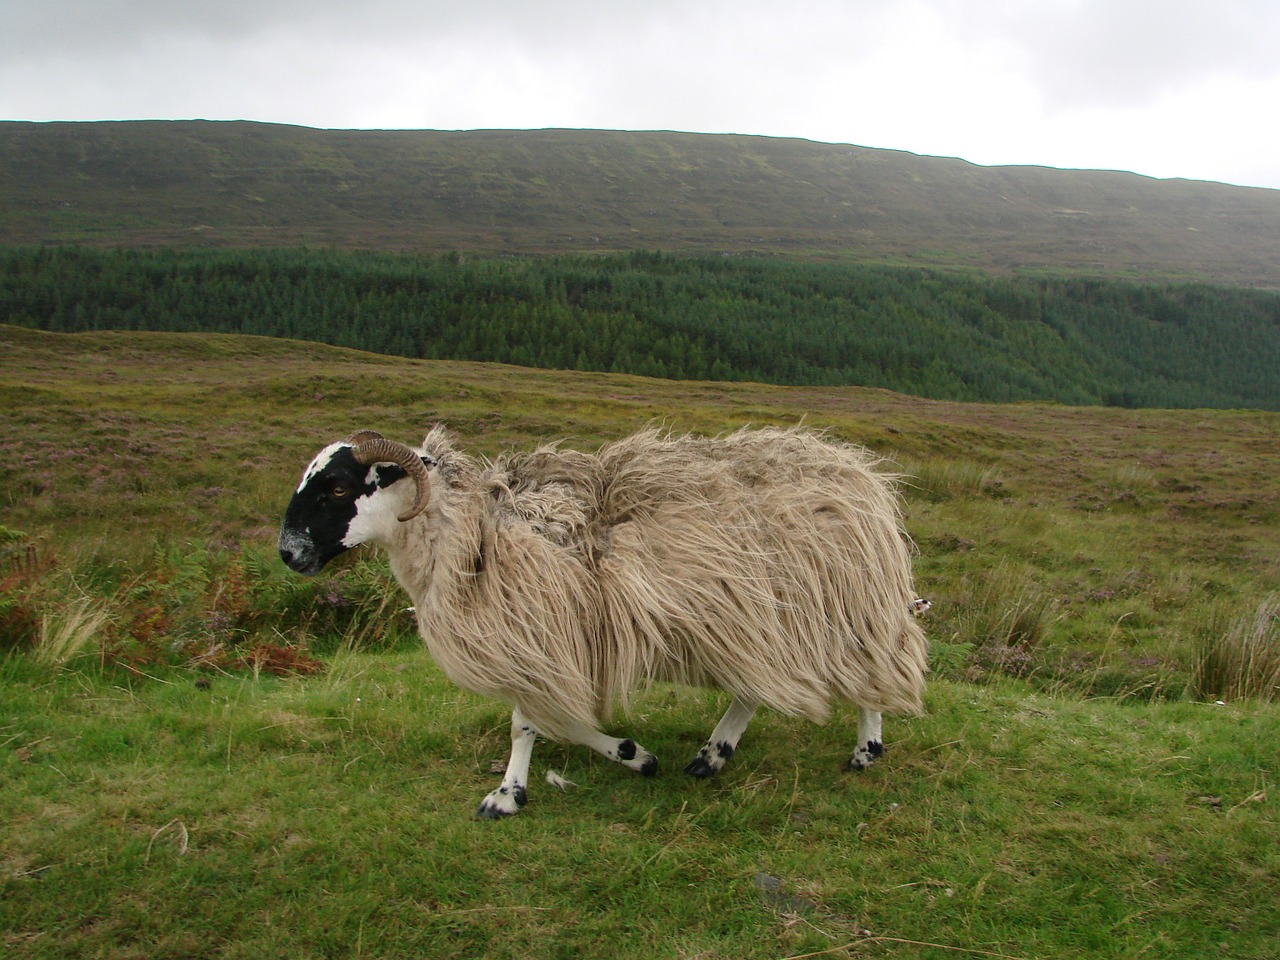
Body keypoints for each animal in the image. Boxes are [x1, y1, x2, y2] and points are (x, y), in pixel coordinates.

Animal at [275, 427, 926, 819]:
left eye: (338, 487)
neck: (472, 530)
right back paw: (712, 754)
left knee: (873, 662)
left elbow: (529, 724)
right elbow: (559, 721)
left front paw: (508, 794)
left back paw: (866, 746)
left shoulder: (541, 634)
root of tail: (855, 469)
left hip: (841, 603)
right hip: (760, 617)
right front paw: (633, 755)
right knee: (754, 688)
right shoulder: (552, 647)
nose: (287, 553)